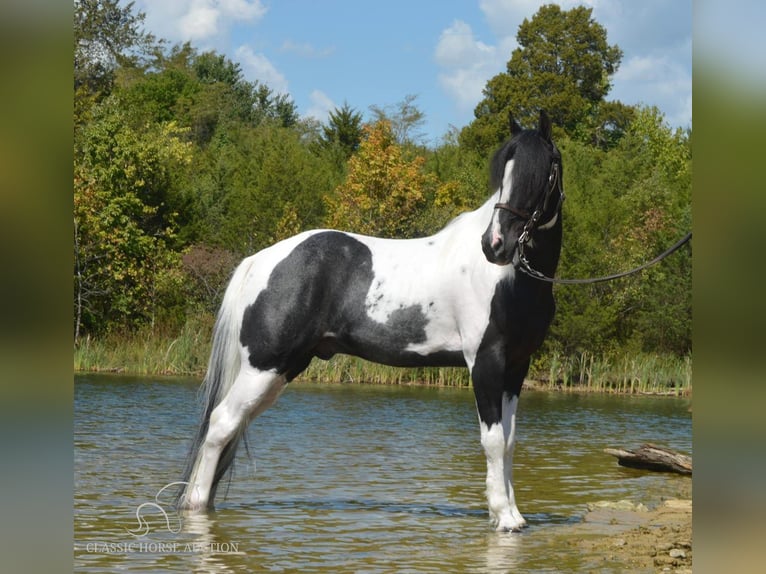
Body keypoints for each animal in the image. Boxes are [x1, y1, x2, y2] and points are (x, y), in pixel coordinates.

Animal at [178, 110, 564, 532]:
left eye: (542, 173)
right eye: (503, 174)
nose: (495, 245)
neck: (509, 279)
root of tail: (260, 260)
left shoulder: (515, 367)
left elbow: (509, 441)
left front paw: (515, 515)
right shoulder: (485, 363)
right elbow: (492, 441)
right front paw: (503, 517)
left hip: (282, 369)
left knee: (230, 425)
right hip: (263, 367)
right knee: (221, 423)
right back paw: (196, 507)